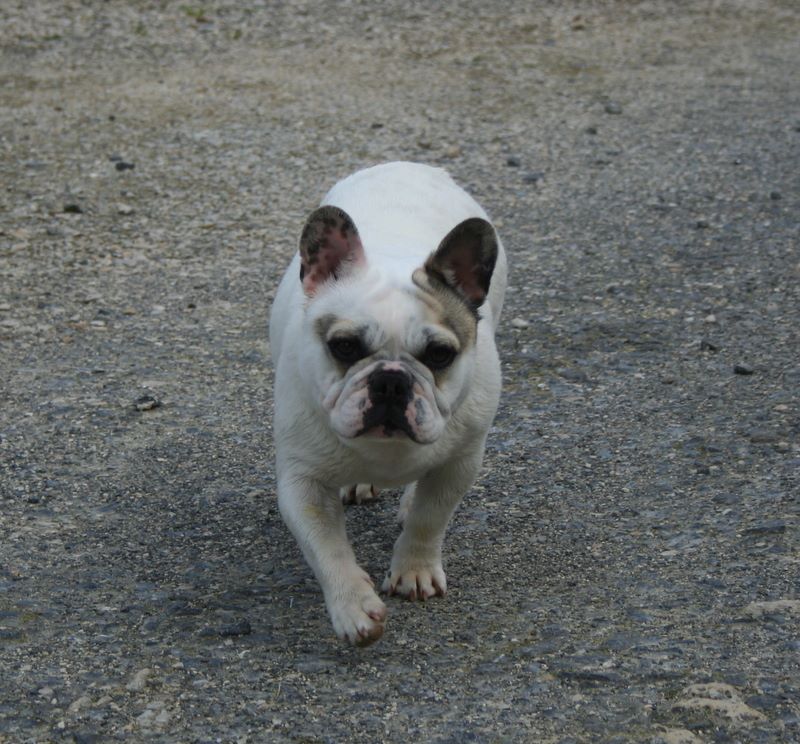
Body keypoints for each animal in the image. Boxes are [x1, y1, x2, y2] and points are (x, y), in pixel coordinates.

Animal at [268, 163, 506, 644]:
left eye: (440, 355)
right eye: (343, 346)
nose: (392, 381)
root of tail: (410, 166)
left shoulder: (460, 463)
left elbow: (430, 518)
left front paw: (414, 570)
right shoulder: (303, 483)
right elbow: (326, 549)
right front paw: (352, 606)